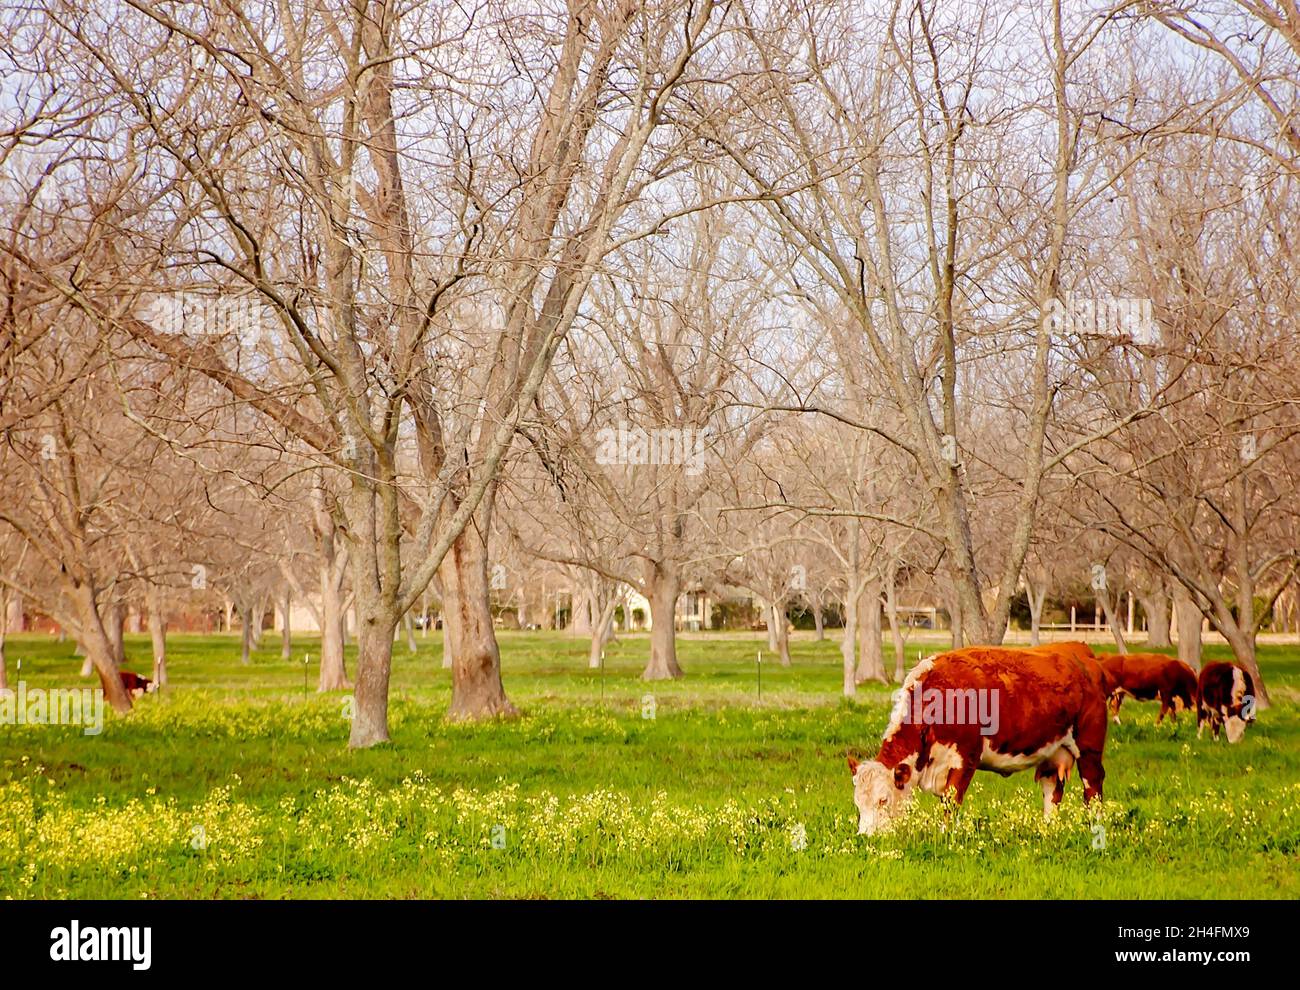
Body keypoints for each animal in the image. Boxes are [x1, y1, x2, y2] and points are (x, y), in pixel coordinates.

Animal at [847, 644, 1112, 831]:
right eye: (858, 803)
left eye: (883, 800)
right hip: (1054, 753)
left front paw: (946, 837)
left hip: (1089, 748)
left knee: (1093, 787)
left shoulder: (965, 759)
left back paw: (1095, 828)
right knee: (1052, 790)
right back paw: (1047, 830)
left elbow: (951, 803)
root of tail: (1081, 653)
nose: (866, 838)